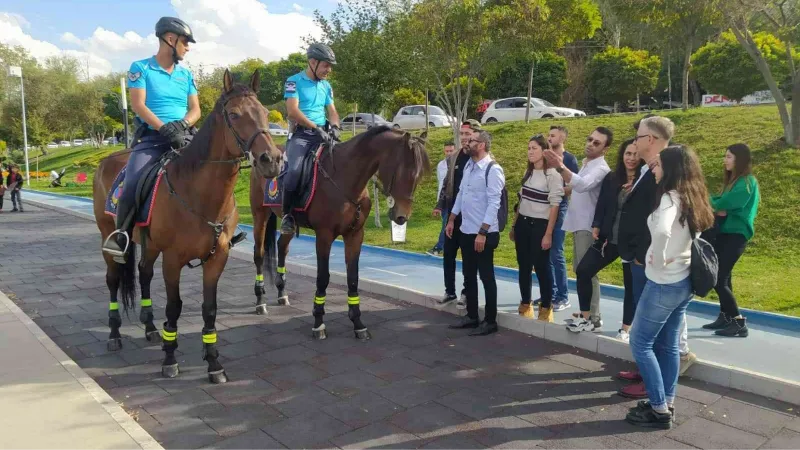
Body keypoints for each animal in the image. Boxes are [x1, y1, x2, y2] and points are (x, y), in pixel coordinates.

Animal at [94, 69, 282, 384]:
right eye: (234, 115)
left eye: (266, 113)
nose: (273, 160)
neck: (197, 192)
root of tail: (106, 161)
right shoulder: (173, 260)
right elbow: (174, 307)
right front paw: (170, 360)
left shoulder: (217, 257)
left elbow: (209, 309)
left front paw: (213, 362)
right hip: (110, 238)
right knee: (113, 280)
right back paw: (114, 333)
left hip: (149, 245)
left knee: (144, 274)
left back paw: (150, 328)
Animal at [250, 126, 428, 338]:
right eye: (400, 171)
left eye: (419, 174)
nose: (402, 216)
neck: (345, 178)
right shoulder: (324, 236)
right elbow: (322, 278)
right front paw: (318, 322)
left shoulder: (355, 235)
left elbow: (353, 278)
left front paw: (358, 323)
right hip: (260, 214)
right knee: (259, 254)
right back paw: (260, 302)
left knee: (282, 247)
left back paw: (282, 293)